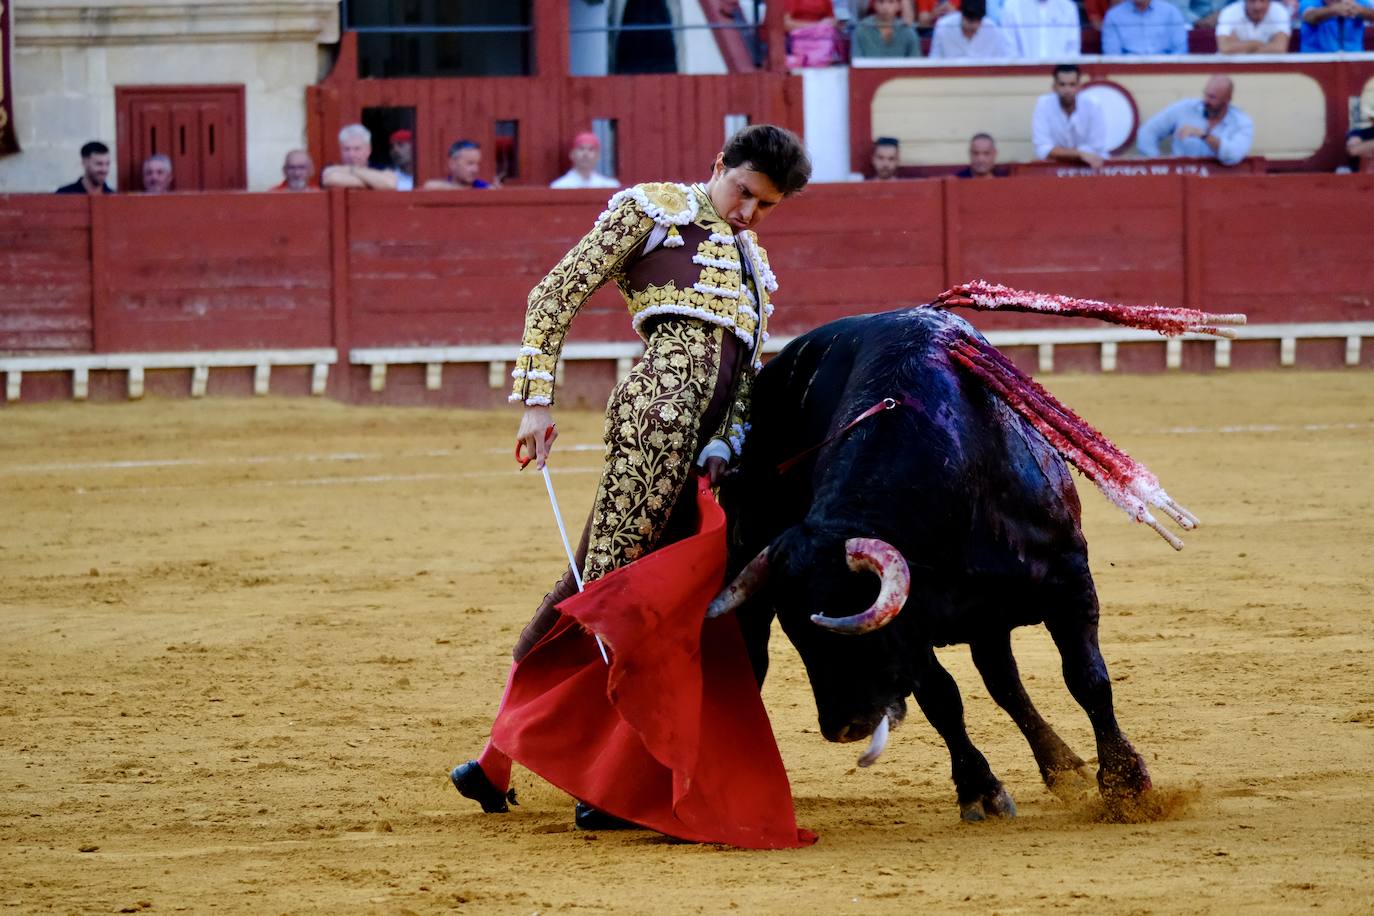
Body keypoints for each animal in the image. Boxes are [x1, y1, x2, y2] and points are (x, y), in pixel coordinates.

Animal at [714, 282, 1242, 818]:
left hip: (991, 611)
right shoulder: (913, 620)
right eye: (799, 638)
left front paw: (1125, 784)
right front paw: (981, 791)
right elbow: (943, 699)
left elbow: (1087, 679)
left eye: (847, 625)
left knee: (1006, 680)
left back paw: (1066, 770)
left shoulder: (1070, 582)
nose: (844, 726)